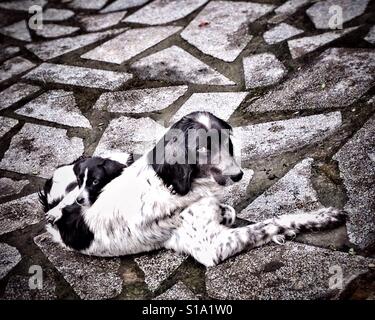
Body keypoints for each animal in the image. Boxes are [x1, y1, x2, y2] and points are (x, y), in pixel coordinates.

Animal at [43, 111, 346, 266]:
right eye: (202, 148)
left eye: (226, 140)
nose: (238, 175)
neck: (173, 187)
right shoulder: (212, 247)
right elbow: (271, 223)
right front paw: (320, 217)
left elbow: (230, 211)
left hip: (116, 158)